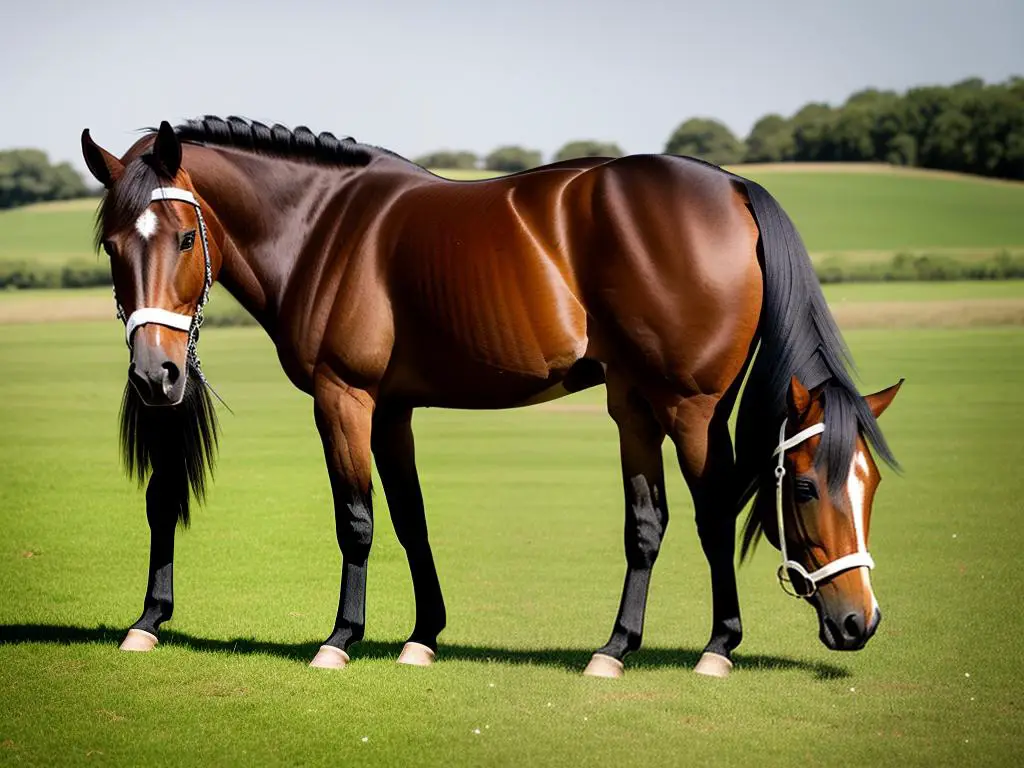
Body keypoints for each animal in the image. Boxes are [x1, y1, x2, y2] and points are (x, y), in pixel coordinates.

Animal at [79, 114, 901, 679]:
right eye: (113, 247)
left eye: (185, 238)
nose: (156, 375)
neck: (322, 224)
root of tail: (733, 185)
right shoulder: (393, 408)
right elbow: (410, 518)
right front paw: (422, 636)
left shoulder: (343, 397)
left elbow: (356, 519)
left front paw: (341, 638)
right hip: (638, 402)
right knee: (650, 522)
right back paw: (615, 648)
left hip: (689, 408)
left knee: (710, 513)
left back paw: (717, 646)